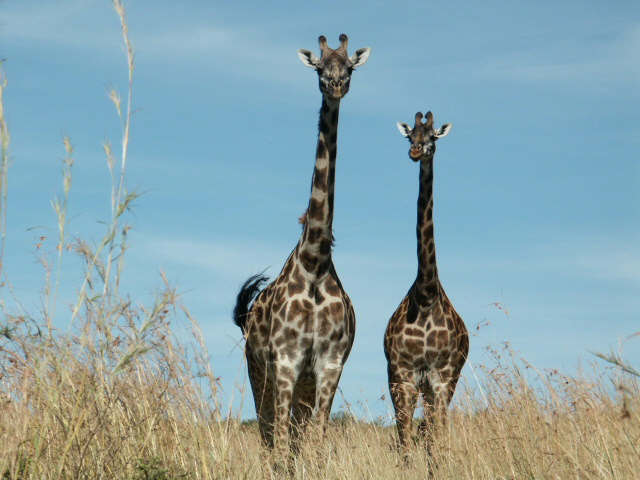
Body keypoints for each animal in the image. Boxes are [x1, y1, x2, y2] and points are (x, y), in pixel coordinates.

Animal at [231, 32, 370, 458]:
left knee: (293, 438)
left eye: (350, 67)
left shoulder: (328, 365)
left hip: (302, 387)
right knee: (269, 438)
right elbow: (278, 445)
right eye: (319, 68)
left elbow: (316, 444)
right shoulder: (286, 362)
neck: (314, 261)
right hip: (259, 373)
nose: (335, 85)